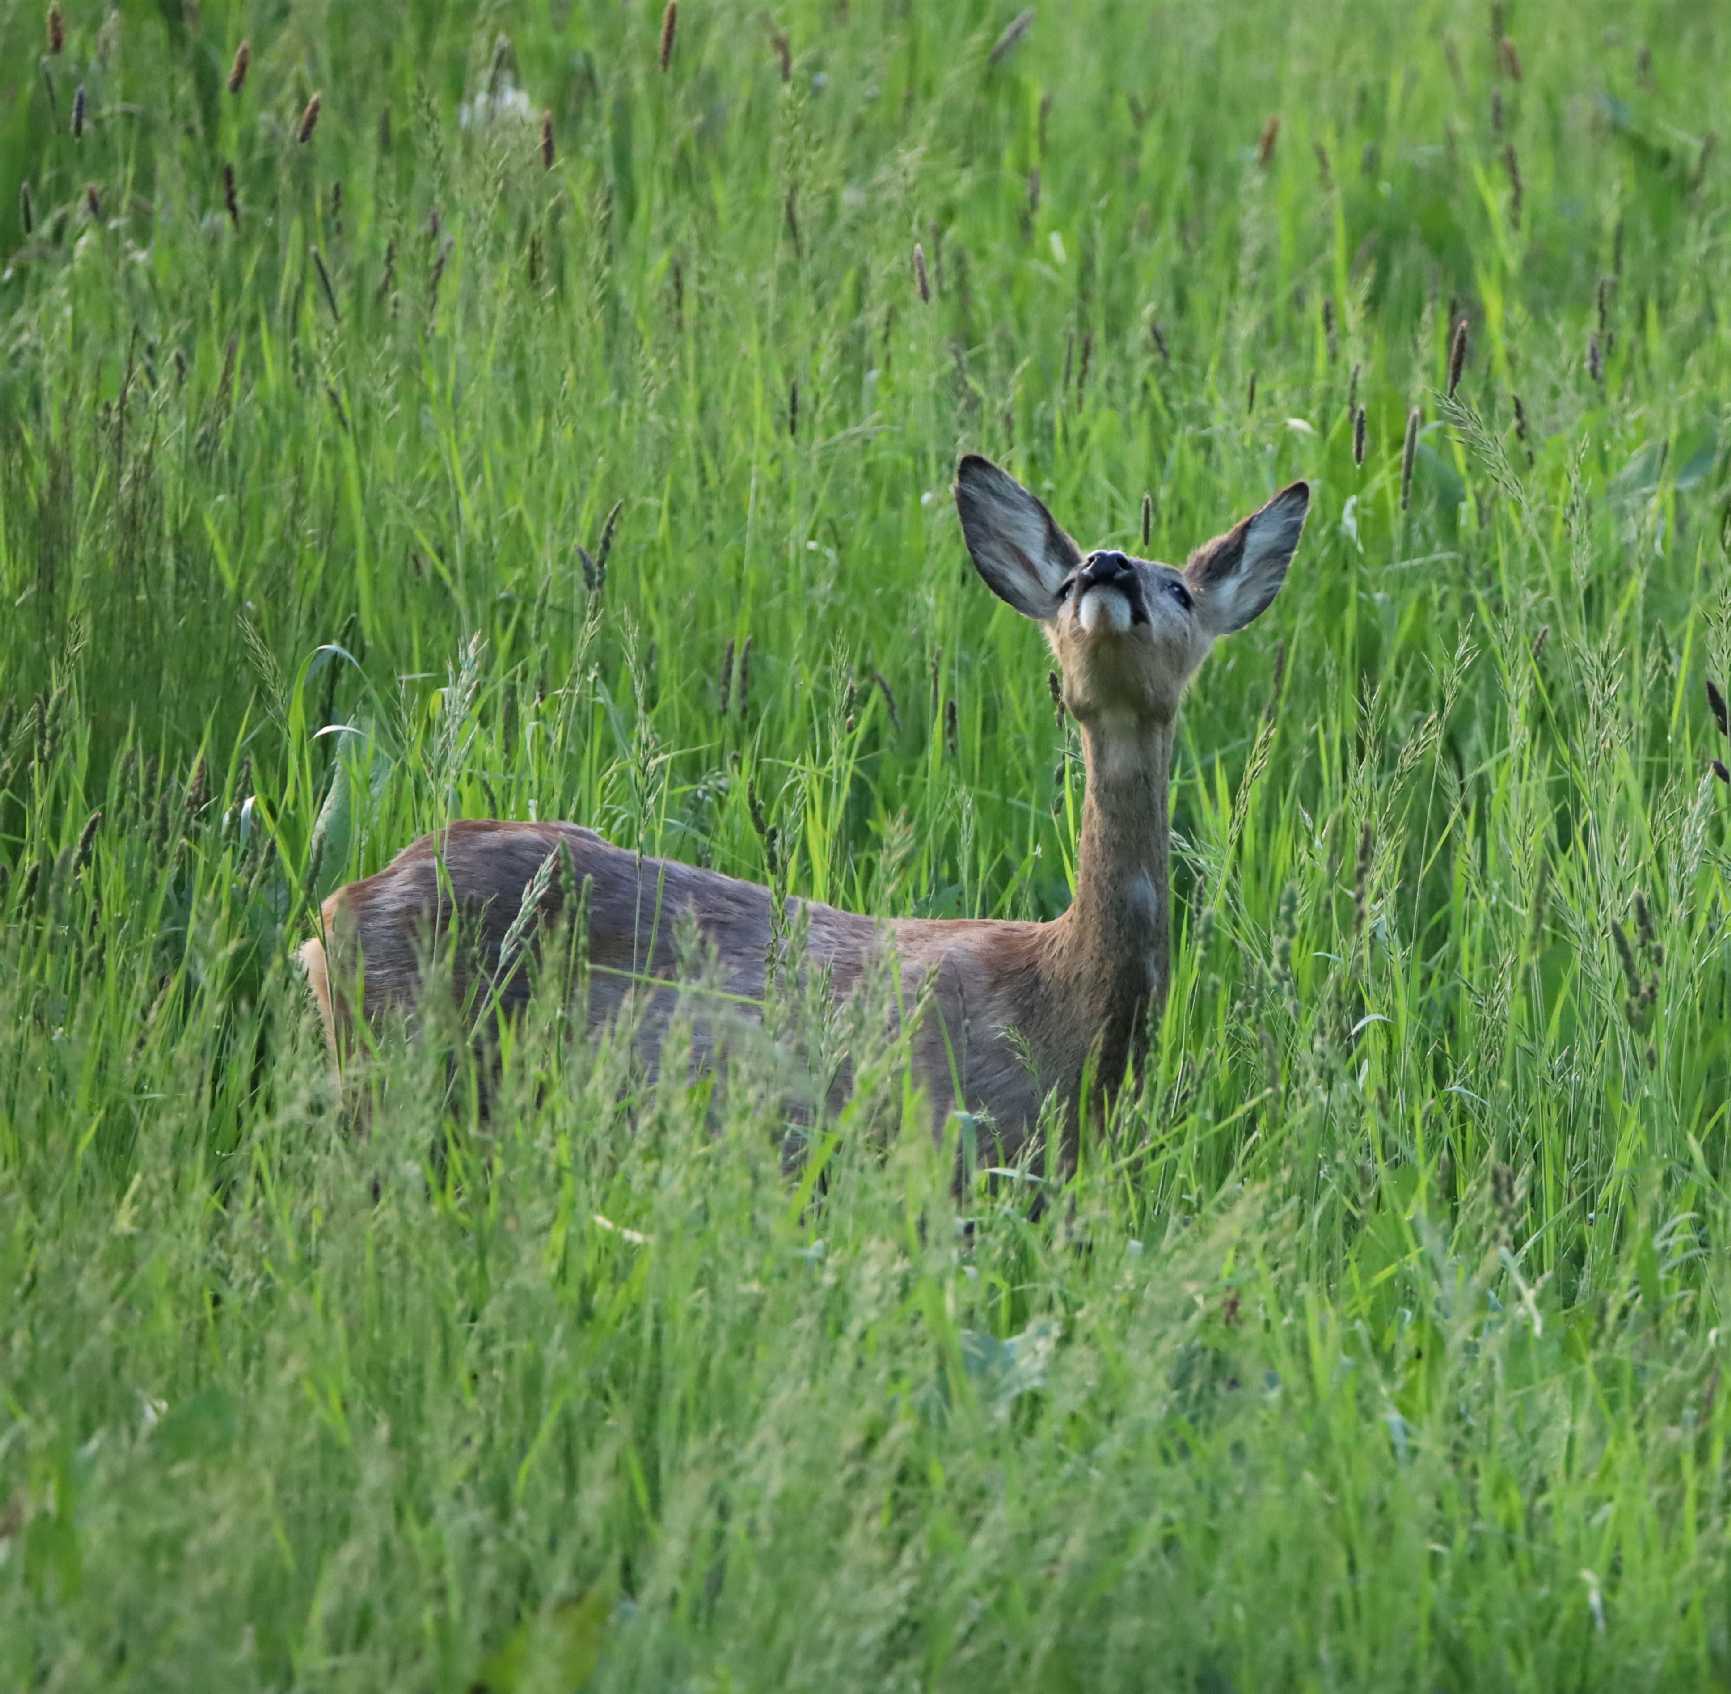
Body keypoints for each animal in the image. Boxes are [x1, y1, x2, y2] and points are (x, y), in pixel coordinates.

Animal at [304, 453, 1301, 1162]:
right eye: (1060, 586)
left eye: (1180, 587)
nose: (1104, 565)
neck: (1064, 1018)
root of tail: (335, 910)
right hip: (400, 1065)